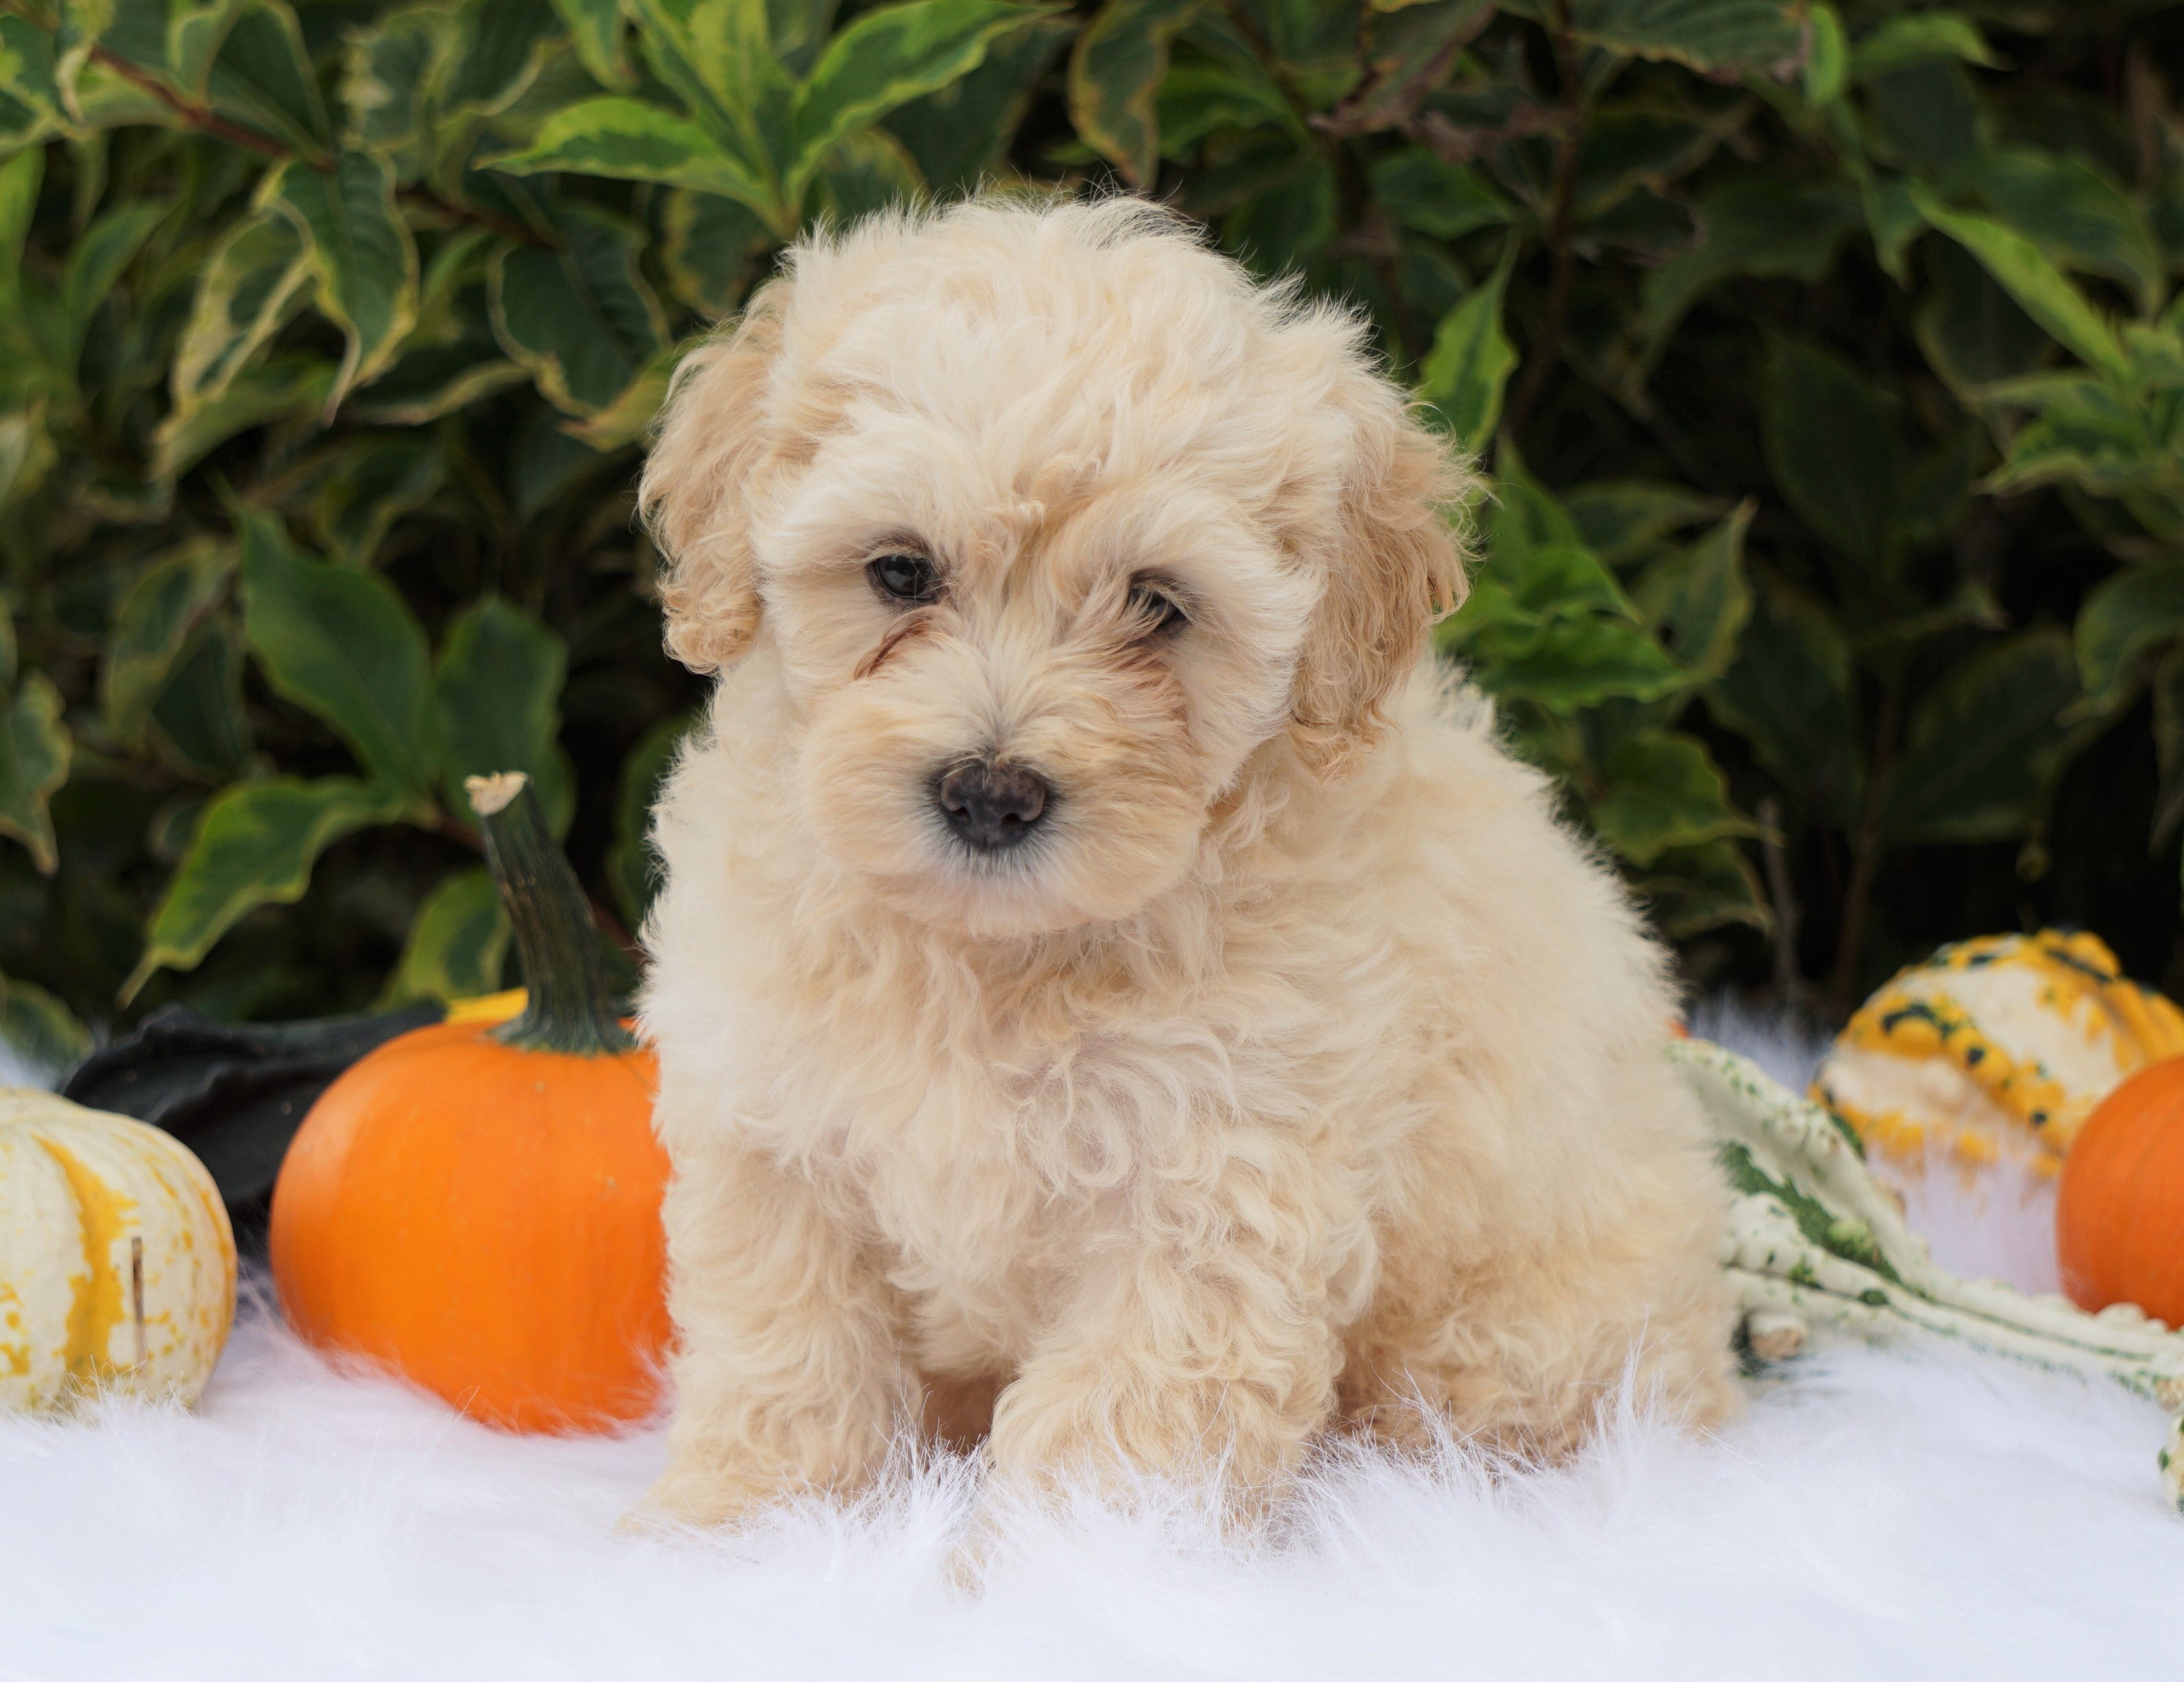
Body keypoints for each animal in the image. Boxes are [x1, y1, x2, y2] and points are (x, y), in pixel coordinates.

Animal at [633, 196, 1738, 1520]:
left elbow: (1116, 1432)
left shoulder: (1212, 1193)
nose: (990, 793)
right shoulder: (776, 1136)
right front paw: (740, 1523)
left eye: (1158, 606)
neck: (993, 956)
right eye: (900, 570)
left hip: (1516, 1339)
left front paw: (1052, 1564)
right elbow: (788, 1355)